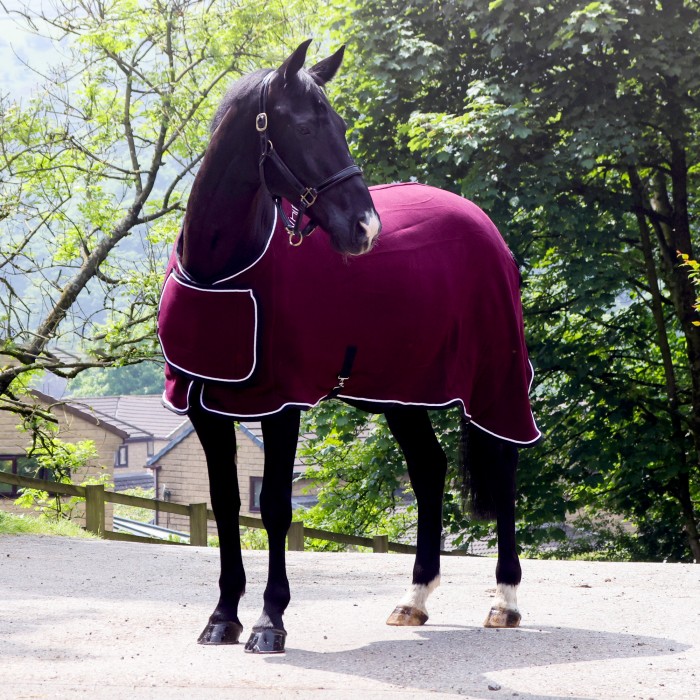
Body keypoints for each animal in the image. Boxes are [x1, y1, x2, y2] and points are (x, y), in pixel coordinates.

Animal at [159, 38, 540, 652]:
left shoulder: (279, 401)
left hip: (494, 380)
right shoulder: (204, 405)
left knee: (503, 464)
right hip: (402, 390)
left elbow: (275, 508)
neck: (221, 269)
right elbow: (224, 504)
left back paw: (504, 602)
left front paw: (269, 621)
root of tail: (483, 223)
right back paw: (414, 599)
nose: (366, 228)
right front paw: (221, 617)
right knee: (429, 468)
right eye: (305, 127)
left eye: (339, 124)